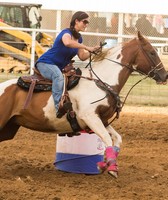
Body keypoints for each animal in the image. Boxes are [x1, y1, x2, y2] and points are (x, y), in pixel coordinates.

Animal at [0, 31, 167, 178]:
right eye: (152, 52)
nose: (164, 75)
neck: (102, 80)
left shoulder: (102, 120)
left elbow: (117, 139)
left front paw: (106, 164)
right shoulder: (90, 117)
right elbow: (107, 139)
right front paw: (110, 168)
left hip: (10, 127)